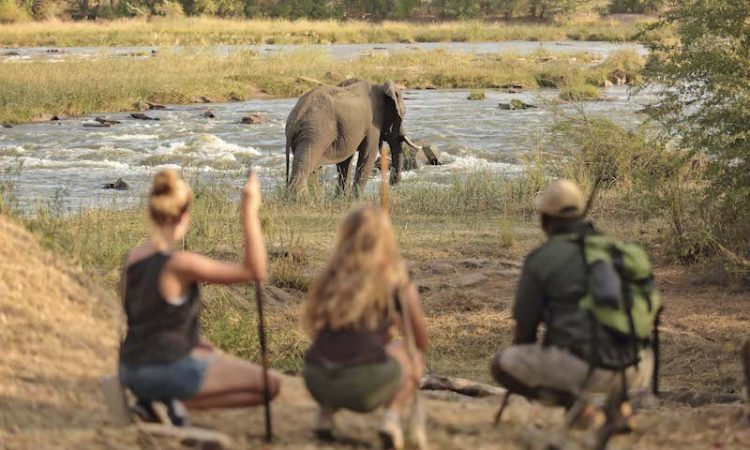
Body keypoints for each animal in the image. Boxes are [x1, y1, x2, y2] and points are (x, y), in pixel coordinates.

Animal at [286, 79, 424, 195]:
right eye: (403, 113)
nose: (392, 184)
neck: (380, 86)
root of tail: (294, 118)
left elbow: (345, 161)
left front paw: (342, 198)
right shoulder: (373, 124)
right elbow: (368, 154)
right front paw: (355, 199)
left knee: (310, 166)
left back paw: (315, 199)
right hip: (315, 133)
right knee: (306, 163)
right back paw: (300, 199)